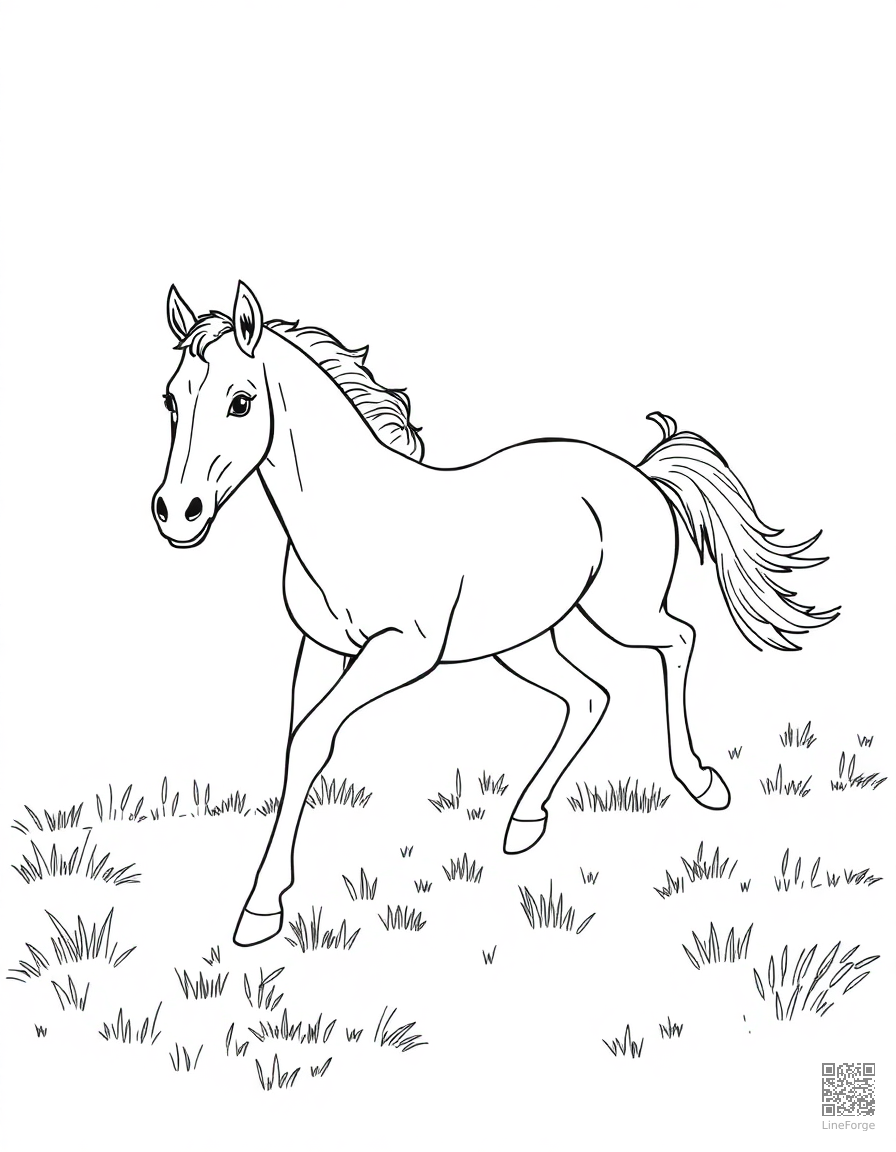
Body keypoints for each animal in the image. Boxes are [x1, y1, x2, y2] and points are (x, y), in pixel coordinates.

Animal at [152, 281, 838, 947]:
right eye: (170, 400)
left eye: (241, 402)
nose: (177, 513)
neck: (354, 520)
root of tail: (641, 472)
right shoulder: (321, 649)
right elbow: (300, 747)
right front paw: (262, 906)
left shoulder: (401, 651)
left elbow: (315, 737)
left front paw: (260, 910)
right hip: (521, 641)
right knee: (590, 696)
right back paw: (525, 821)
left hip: (623, 612)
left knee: (679, 641)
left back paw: (701, 782)